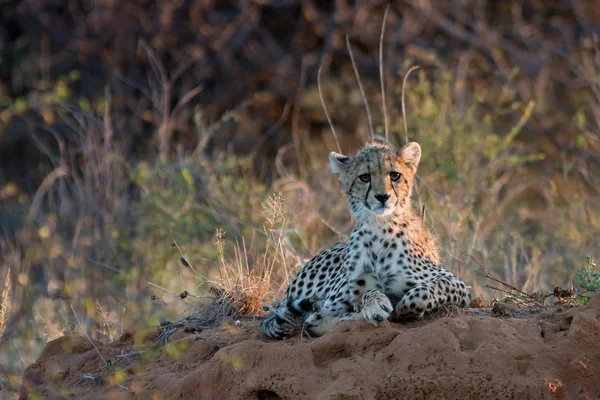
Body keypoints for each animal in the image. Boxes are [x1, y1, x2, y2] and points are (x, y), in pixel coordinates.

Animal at [260, 139, 472, 340]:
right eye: (365, 177)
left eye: (395, 175)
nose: (382, 197)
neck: (380, 228)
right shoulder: (341, 297)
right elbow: (363, 297)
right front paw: (376, 304)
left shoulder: (457, 285)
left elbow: (423, 292)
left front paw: (402, 309)